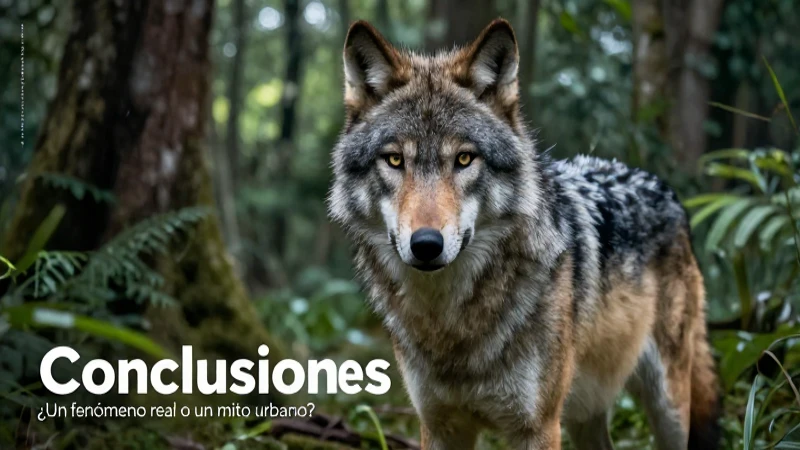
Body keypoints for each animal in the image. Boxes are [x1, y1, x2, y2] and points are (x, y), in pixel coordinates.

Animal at [328, 18, 720, 450]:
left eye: (464, 158)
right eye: (395, 160)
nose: (426, 244)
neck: (452, 327)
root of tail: (664, 188)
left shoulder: (537, 427)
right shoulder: (439, 425)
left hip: (668, 407)